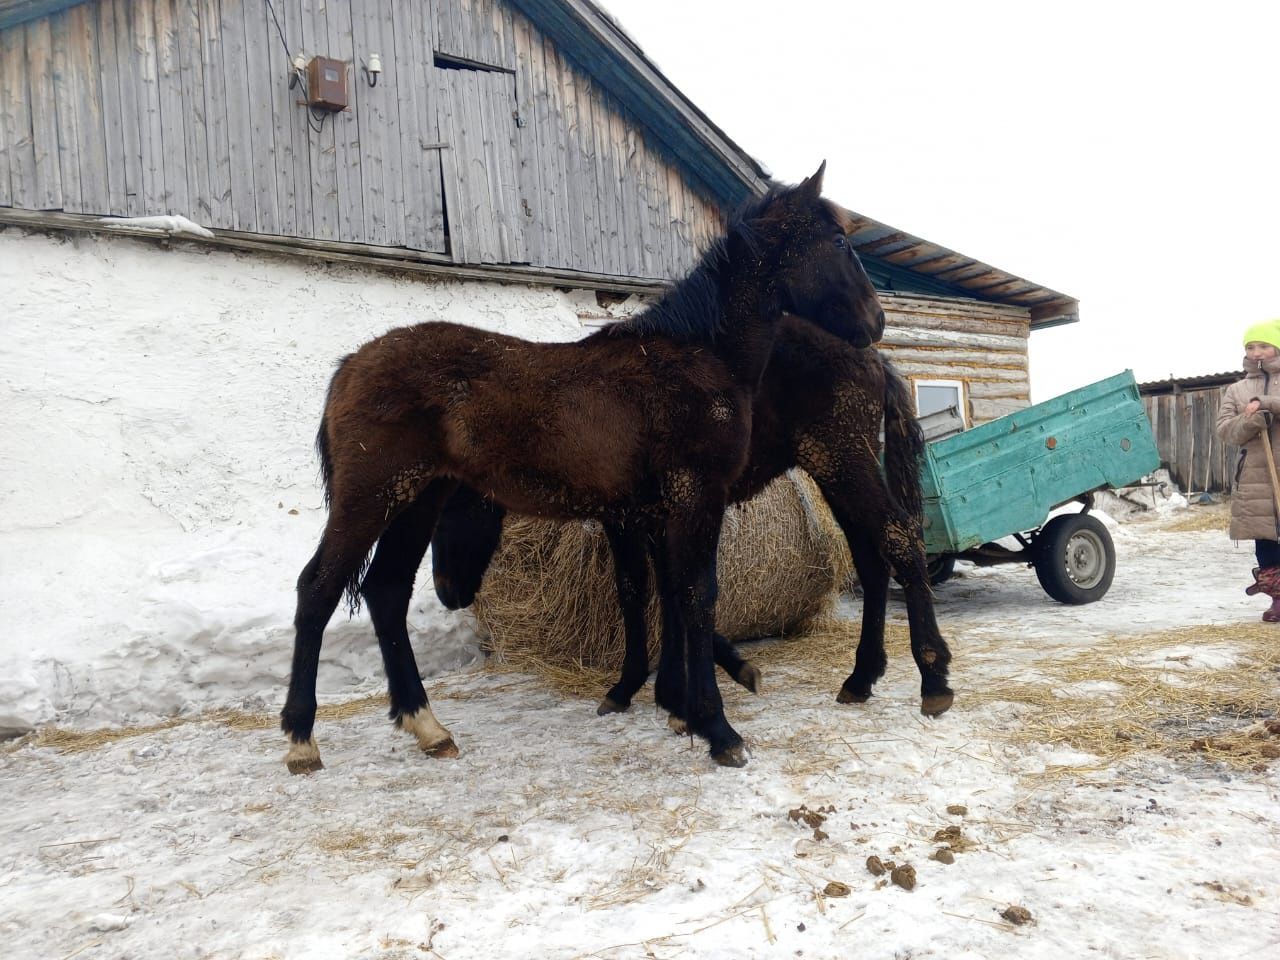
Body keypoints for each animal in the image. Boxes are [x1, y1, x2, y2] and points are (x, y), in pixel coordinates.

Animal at [281, 165, 885, 773]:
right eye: (839, 242)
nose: (876, 321)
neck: (700, 356)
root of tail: (351, 365)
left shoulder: (653, 510)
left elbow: (667, 594)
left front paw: (681, 706)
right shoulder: (695, 497)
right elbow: (696, 596)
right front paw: (717, 728)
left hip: (417, 499)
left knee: (385, 591)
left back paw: (426, 725)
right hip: (373, 495)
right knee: (318, 587)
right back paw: (301, 738)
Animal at [435, 320, 957, 727]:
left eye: (453, 506)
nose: (446, 591)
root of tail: (871, 355)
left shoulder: (626, 517)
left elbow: (638, 589)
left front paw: (637, 686)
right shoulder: (656, 514)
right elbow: (671, 589)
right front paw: (689, 685)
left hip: (844, 459)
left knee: (900, 539)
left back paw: (932, 678)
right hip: (836, 469)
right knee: (871, 559)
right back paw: (862, 677)